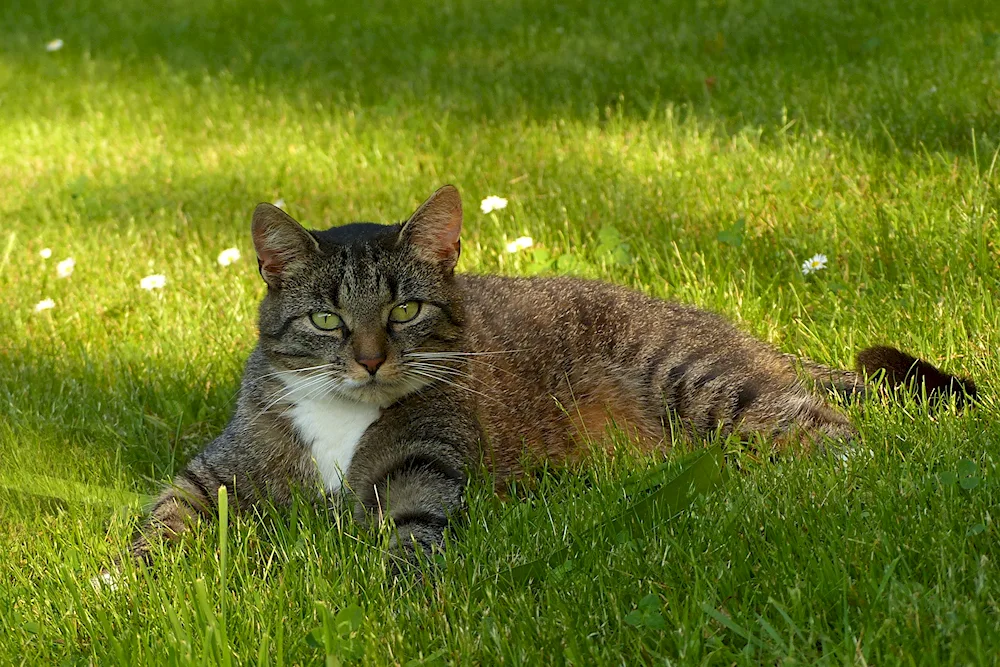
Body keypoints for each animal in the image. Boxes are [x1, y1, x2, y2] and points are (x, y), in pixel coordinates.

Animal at [127, 184, 976, 564]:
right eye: (327, 320)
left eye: (405, 310)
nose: (369, 358)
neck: (340, 413)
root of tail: (746, 333)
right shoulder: (220, 467)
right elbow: (163, 513)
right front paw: (125, 584)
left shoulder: (425, 465)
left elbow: (415, 532)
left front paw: (400, 592)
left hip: (699, 378)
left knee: (831, 434)